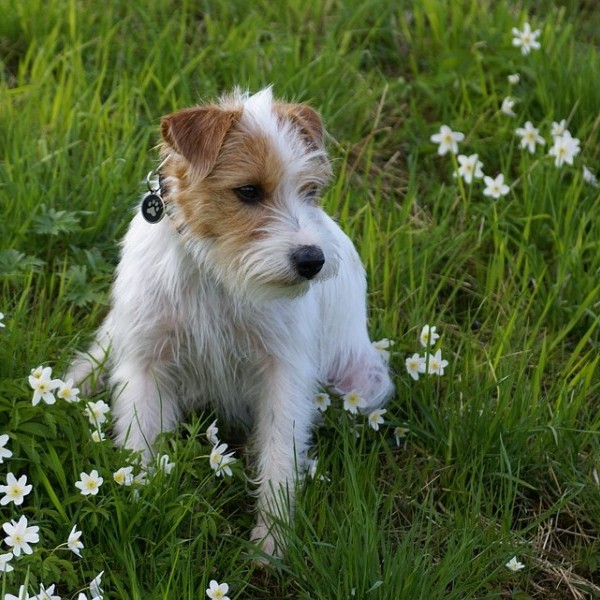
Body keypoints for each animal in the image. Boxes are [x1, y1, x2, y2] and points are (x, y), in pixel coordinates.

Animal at [67, 86, 394, 556]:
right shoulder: (145, 365)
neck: (216, 271)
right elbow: (140, 444)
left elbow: (279, 456)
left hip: (366, 384)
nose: (312, 261)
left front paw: (271, 543)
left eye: (310, 191)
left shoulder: (283, 373)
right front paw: (142, 503)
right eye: (248, 191)